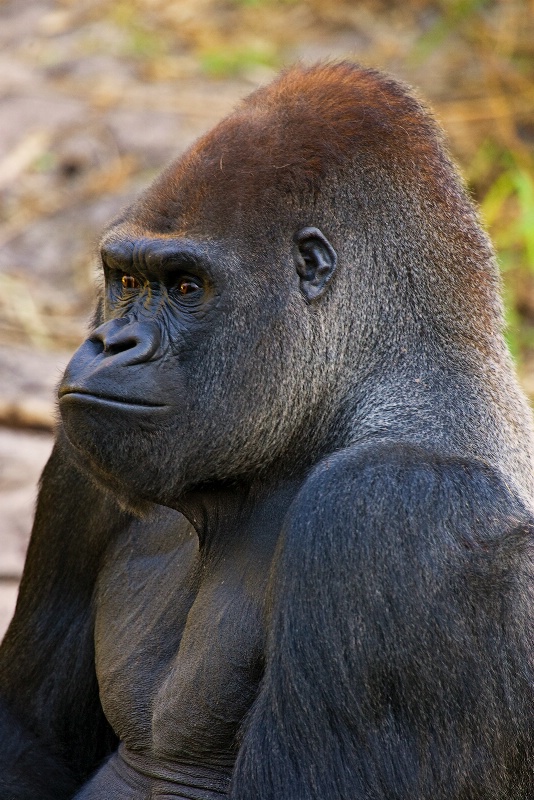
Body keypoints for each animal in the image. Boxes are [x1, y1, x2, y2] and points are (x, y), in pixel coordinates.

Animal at [1, 62, 534, 800]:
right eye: (125, 280)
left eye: (186, 287)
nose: (109, 343)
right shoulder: (83, 457)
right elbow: (31, 733)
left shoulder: (392, 506)